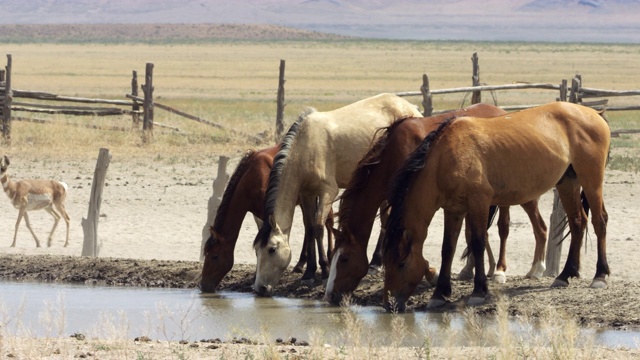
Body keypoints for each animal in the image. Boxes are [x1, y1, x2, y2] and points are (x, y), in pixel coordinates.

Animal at [201, 145, 332, 294]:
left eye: (215, 256)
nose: (203, 285)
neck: (252, 177)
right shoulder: (258, 215)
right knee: (309, 225)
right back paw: (301, 264)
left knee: (323, 223)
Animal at [324, 104, 552, 304]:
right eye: (333, 258)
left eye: (344, 259)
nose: (330, 296)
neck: (392, 154)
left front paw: (431, 274)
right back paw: (474, 269)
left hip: (514, 196)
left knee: (512, 227)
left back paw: (506, 270)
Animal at [380, 102, 608, 310]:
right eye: (386, 262)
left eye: (401, 263)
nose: (390, 304)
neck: (446, 155)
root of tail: (594, 113)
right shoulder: (454, 210)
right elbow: (448, 248)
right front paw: (439, 294)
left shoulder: (479, 202)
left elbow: (478, 243)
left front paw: (479, 291)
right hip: (568, 183)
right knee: (578, 222)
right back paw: (565, 274)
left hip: (591, 181)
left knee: (599, 221)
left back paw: (600, 275)